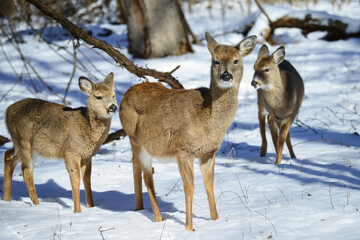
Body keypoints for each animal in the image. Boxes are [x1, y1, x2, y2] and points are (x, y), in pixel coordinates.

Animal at [2, 72, 118, 212]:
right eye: (98, 96)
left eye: (113, 95)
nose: (113, 107)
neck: (87, 128)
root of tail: (7, 111)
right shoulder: (71, 151)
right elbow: (76, 179)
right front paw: (77, 211)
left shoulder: (87, 155)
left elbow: (87, 179)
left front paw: (91, 207)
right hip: (24, 142)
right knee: (26, 171)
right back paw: (37, 204)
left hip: (27, 146)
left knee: (9, 158)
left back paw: (6, 199)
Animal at [119, 32, 258, 231]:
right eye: (216, 61)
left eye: (236, 60)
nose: (226, 75)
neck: (206, 119)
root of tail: (125, 94)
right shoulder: (184, 149)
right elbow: (189, 187)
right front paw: (189, 227)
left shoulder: (209, 152)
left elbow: (209, 185)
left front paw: (215, 221)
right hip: (136, 139)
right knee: (148, 176)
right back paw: (158, 219)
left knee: (136, 166)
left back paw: (139, 208)